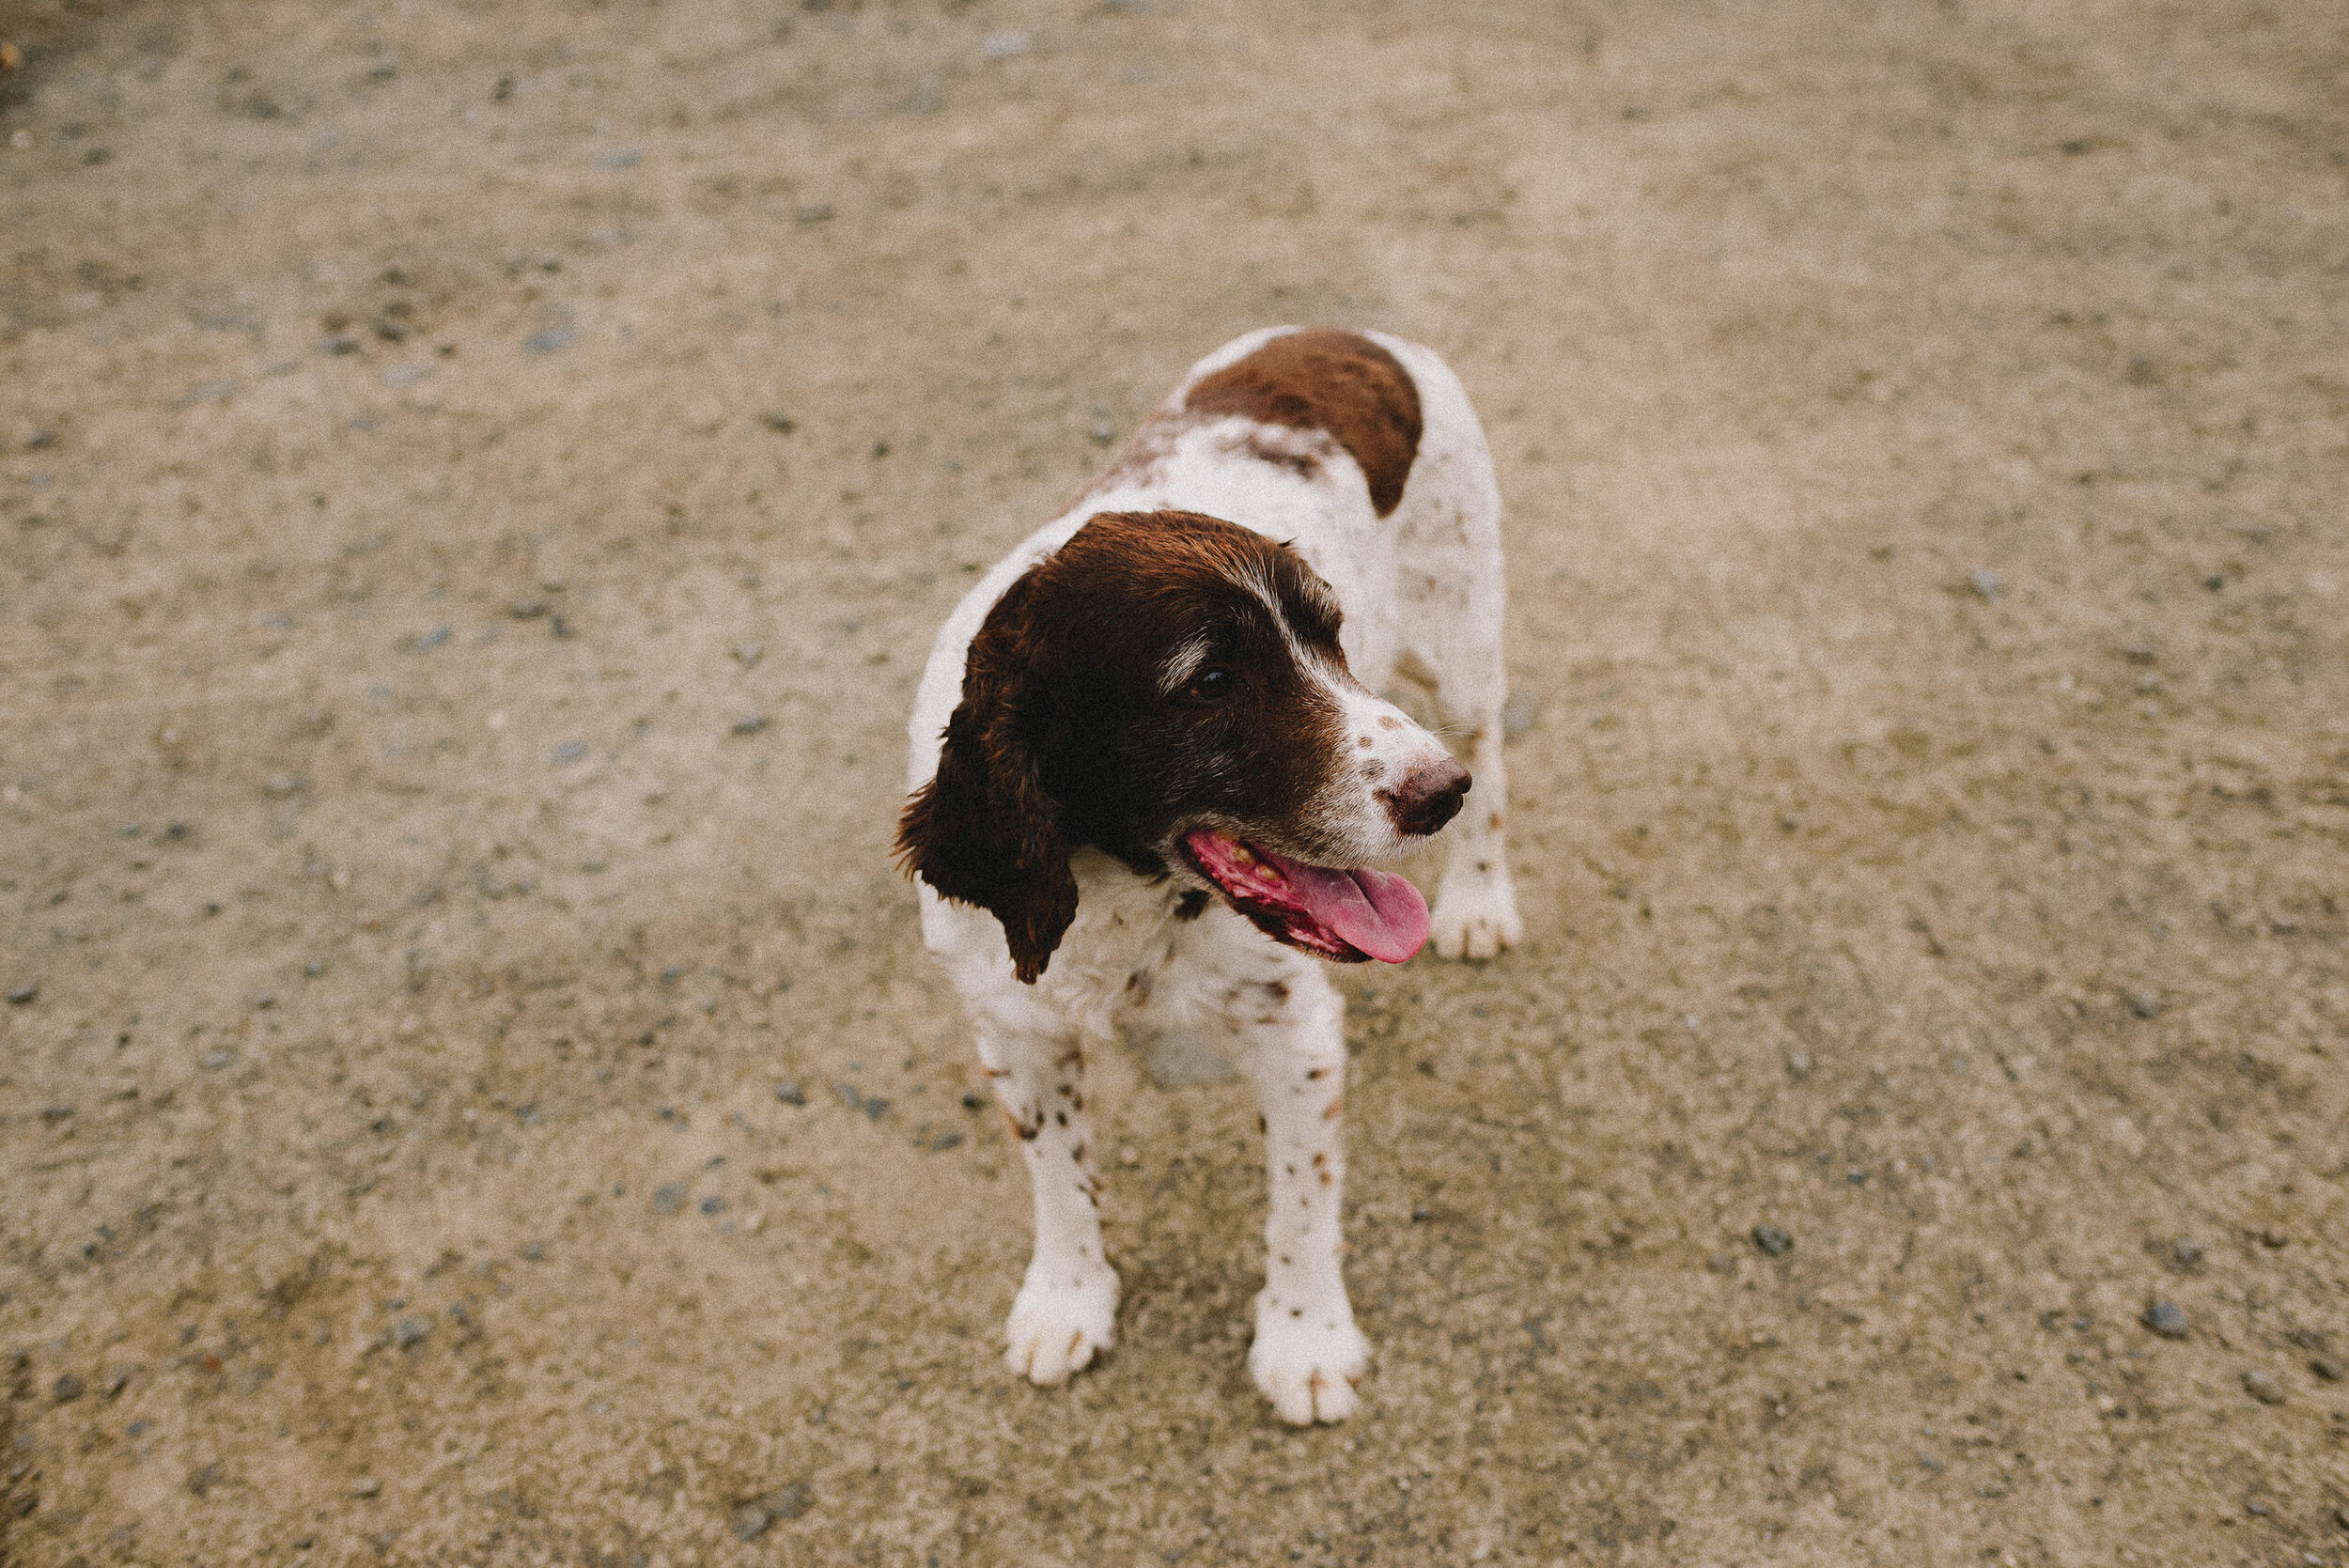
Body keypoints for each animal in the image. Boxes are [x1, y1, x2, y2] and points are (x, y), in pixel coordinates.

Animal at [897, 328, 1522, 1418]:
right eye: (1212, 682)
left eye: (1331, 637)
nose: (1435, 791)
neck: (1125, 899)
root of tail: (1351, 331)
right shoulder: (1014, 1029)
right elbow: (1056, 1175)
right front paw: (1066, 1301)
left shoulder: (1296, 1034)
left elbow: (1300, 1201)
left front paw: (1305, 1340)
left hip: (1459, 640)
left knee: (1494, 741)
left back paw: (1479, 898)